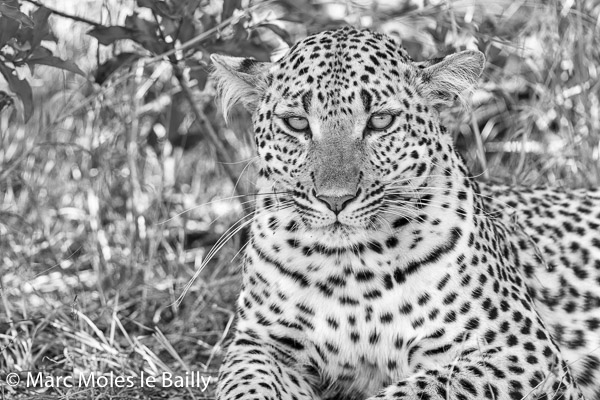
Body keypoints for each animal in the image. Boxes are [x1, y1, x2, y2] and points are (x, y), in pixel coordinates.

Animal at [209, 25, 596, 400]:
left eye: (380, 121)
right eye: (297, 123)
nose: (335, 200)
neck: (350, 271)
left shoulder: (522, 351)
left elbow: (419, 389)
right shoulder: (262, 343)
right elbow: (243, 386)